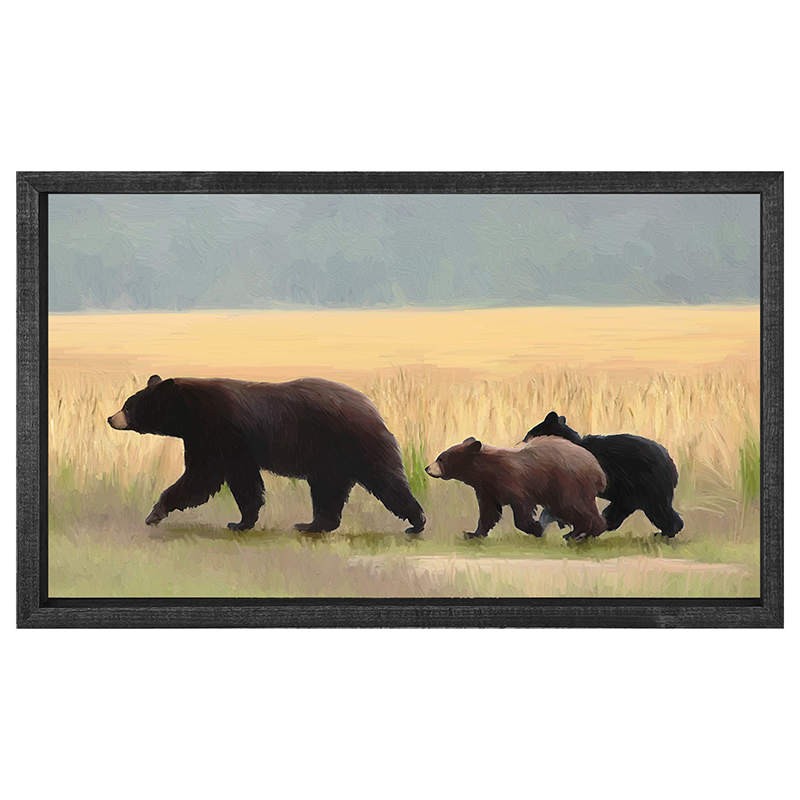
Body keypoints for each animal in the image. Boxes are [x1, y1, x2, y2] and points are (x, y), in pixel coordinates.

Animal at [108, 374, 426, 534]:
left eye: (128, 405)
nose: (111, 418)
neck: (189, 411)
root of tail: (373, 407)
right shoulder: (218, 442)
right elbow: (236, 479)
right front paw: (242, 522)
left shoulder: (217, 432)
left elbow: (203, 477)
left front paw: (155, 513)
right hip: (330, 460)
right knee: (328, 491)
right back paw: (312, 525)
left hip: (353, 443)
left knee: (385, 480)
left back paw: (417, 522)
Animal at [424, 436, 607, 540]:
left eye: (440, 458)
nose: (427, 468)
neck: (487, 471)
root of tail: (598, 470)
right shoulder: (487, 489)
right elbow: (488, 512)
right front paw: (472, 534)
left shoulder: (514, 481)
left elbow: (522, 509)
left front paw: (536, 528)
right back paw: (577, 533)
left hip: (567, 483)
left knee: (573, 506)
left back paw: (582, 534)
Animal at [523, 412, 684, 537]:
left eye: (529, 434)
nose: (523, 442)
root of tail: (672, 465)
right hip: (630, 493)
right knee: (616, 513)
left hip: (649, 486)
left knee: (658, 510)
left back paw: (665, 533)